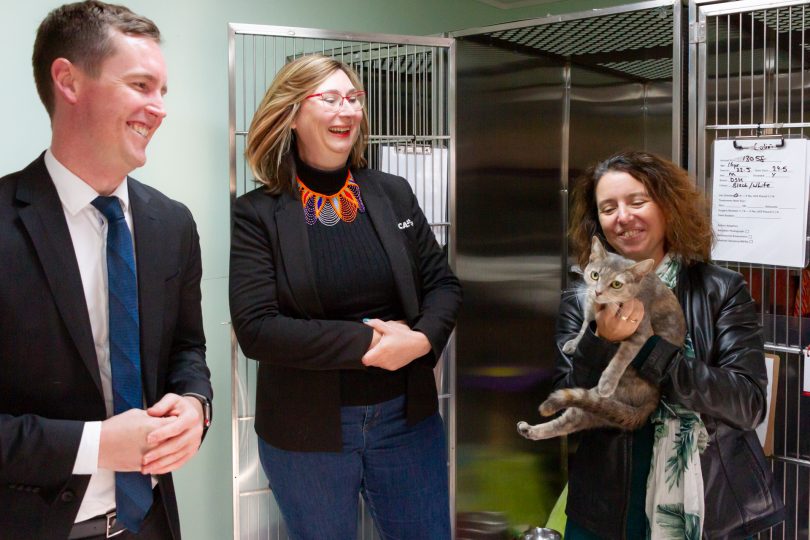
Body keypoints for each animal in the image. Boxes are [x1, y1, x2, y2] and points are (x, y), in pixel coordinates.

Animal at [516, 236, 680, 438]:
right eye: (595, 275)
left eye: (616, 284)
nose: (598, 292)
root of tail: (651, 402)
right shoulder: (589, 307)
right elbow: (585, 326)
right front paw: (573, 343)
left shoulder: (641, 331)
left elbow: (621, 357)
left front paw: (607, 381)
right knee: (569, 420)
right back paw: (529, 429)